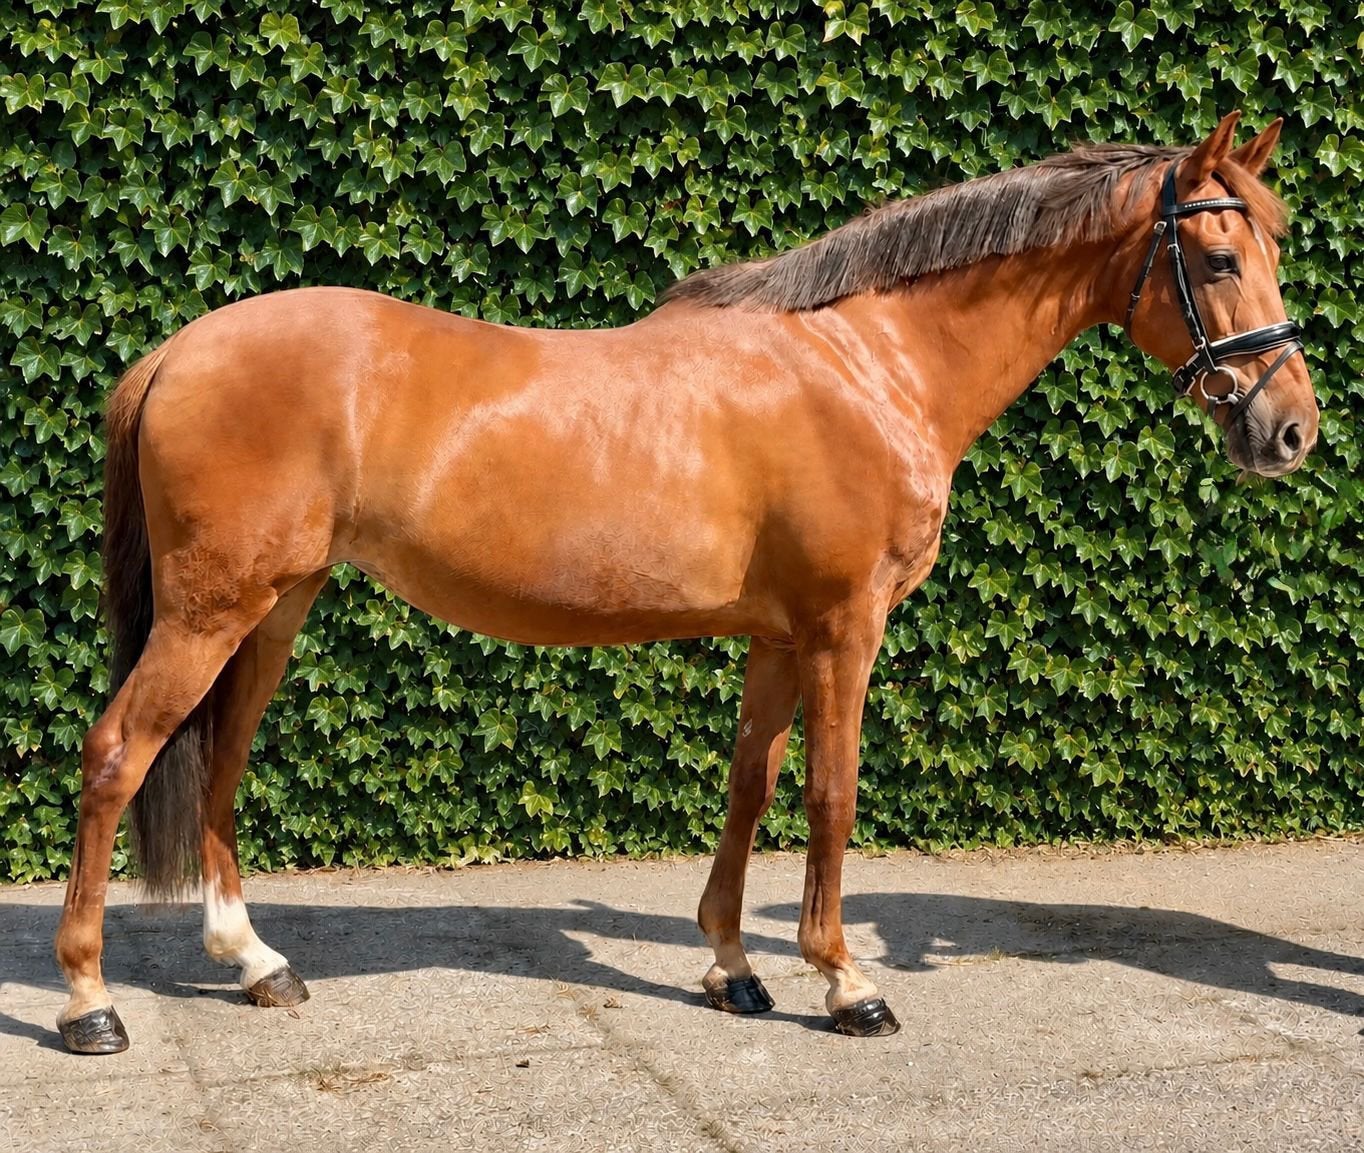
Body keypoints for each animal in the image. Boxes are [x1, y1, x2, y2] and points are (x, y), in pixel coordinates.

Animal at [55, 111, 1318, 1053]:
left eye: (1273, 249)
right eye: (1215, 260)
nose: (1289, 429)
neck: (868, 362)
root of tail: (174, 350)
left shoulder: (776, 634)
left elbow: (748, 788)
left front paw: (731, 969)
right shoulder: (843, 627)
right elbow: (830, 797)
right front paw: (846, 983)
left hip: (273, 610)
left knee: (218, 762)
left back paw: (256, 962)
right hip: (211, 612)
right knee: (118, 754)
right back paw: (89, 1002)